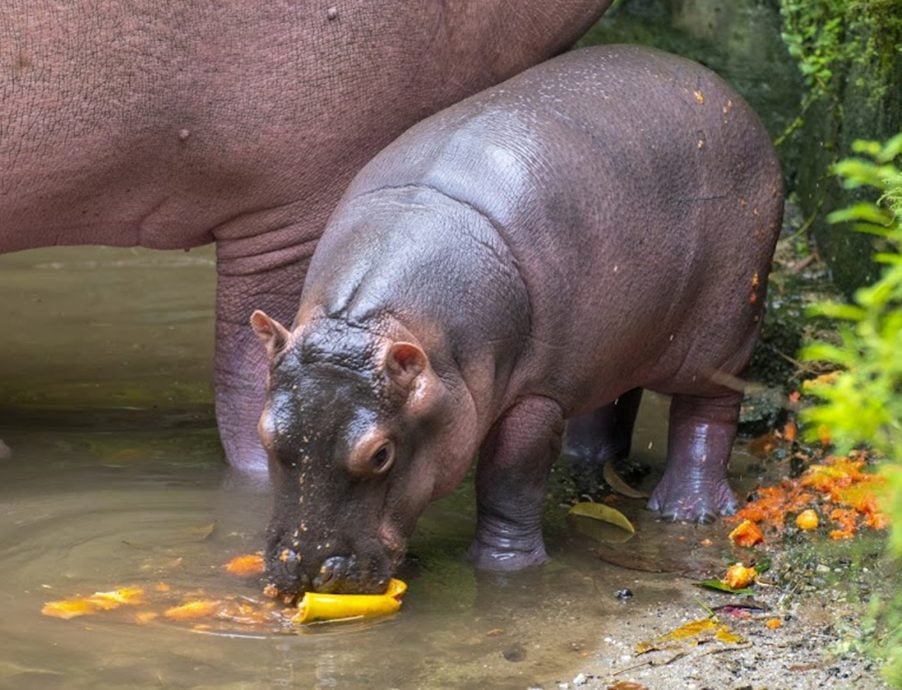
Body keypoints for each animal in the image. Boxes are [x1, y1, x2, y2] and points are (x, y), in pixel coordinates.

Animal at [252, 43, 784, 592]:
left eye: (380, 454)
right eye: (265, 432)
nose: (307, 570)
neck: (375, 322)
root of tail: (713, 83)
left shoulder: (537, 393)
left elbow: (510, 476)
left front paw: (504, 569)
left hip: (723, 328)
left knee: (708, 409)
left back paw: (688, 511)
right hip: (615, 337)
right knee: (614, 393)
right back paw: (588, 463)